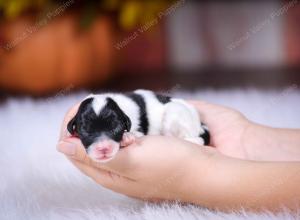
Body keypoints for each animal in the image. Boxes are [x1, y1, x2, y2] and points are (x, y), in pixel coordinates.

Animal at [67, 89, 210, 163]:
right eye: (85, 130)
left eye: (115, 128)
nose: (104, 148)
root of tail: (200, 124)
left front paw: (126, 137)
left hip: (174, 115)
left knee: (196, 139)